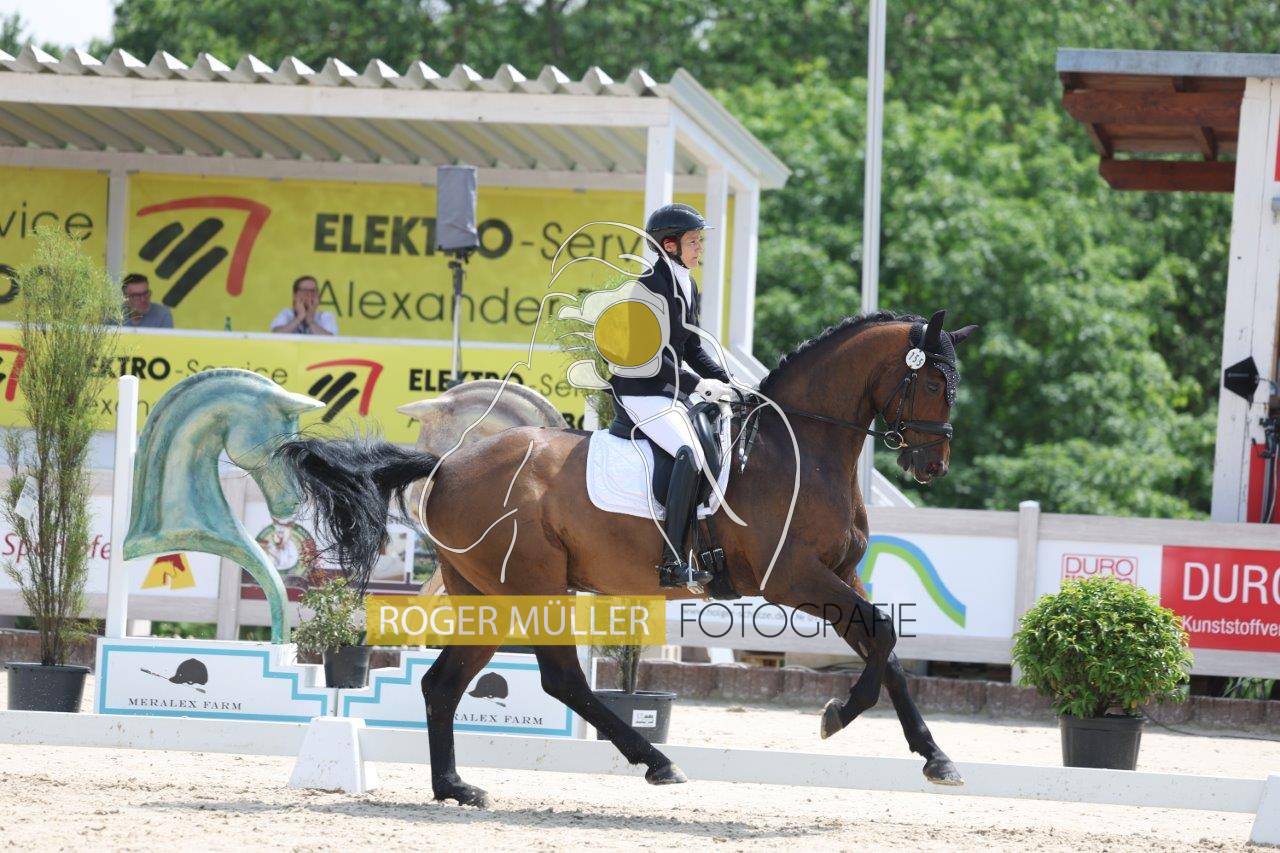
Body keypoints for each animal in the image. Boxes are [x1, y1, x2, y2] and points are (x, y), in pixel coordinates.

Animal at [276, 309, 977, 806]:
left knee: (443, 683)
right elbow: (881, 635)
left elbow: (886, 647)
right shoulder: (791, 577)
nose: (933, 465)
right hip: (533, 587)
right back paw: (657, 763)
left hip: (489, 594)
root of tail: (446, 464)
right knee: (561, 679)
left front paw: (936, 758)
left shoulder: (838, 573)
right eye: (932, 381)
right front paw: (837, 717)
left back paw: (455, 788)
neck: (798, 446)